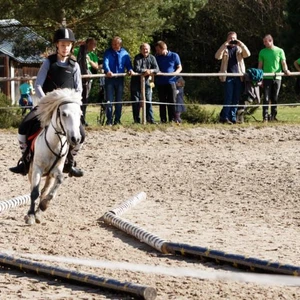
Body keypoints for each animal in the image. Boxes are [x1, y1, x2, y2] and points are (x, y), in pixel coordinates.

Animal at [24, 89, 82, 225]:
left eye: (80, 114)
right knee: (34, 188)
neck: (55, 143)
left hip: (49, 176)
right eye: (64, 114)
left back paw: (39, 213)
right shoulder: (37, 168)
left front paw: (44, 206)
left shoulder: (56, 170)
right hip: (31, 171)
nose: (76, 139)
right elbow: (34, 192)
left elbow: (59, 180)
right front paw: (30, 216)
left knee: (45, 190)